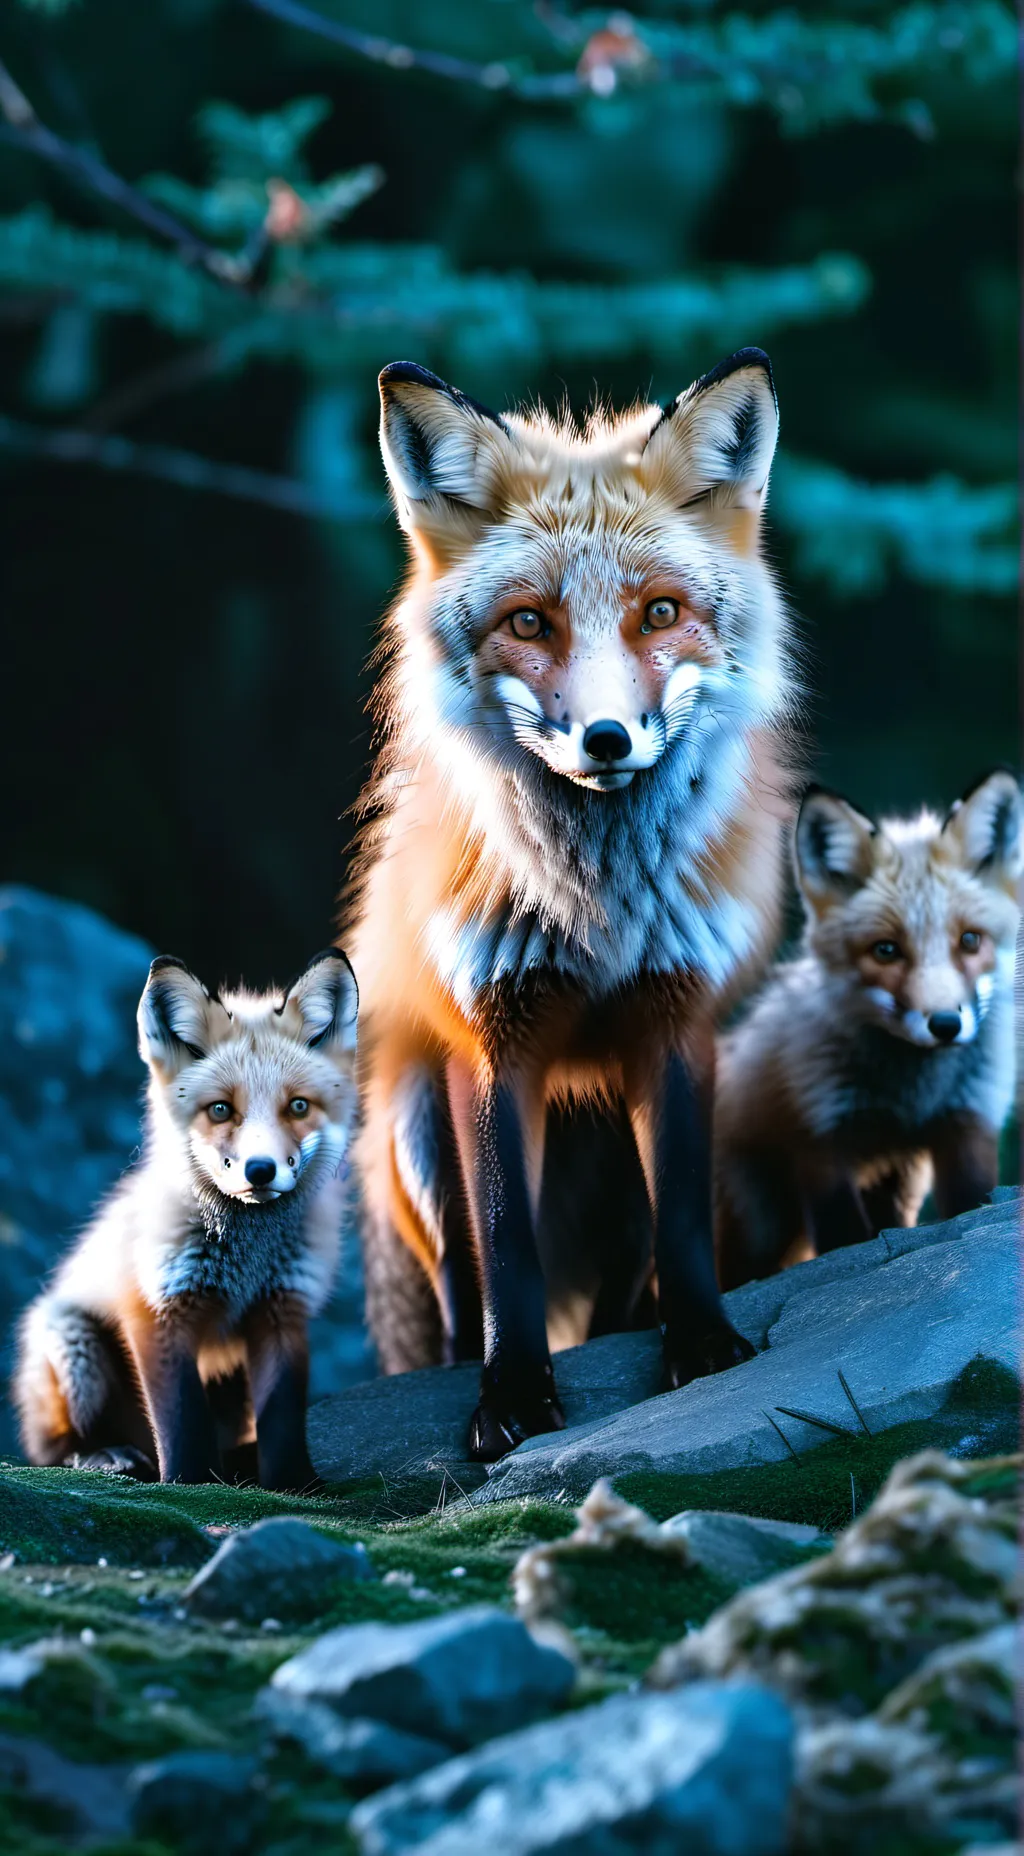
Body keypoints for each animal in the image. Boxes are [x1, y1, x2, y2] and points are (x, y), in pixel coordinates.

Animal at [15, 949, 357, 1489]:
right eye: (220, 1110)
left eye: (298, 1106)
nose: (261, 1170)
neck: (247, 1259)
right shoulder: (157, 1309)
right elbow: (181, 1419)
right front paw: (189, 1481)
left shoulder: (283, 1309)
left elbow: (283, 1418)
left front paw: (294, 1484)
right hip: (74, 1348)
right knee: (51, 1449)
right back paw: (104, 1455)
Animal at [346, 348, 799, 1461]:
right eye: (528, 623)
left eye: (660, 613)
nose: (605, 739)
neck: (598, 912)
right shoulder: (489, 1039)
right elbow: (508, 1245)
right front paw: (510, 1395)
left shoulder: (677, 1021)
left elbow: (681, 1217)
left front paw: (704, 1346)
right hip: (412, 1131)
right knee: (460, 1296)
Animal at [715, 770, 1022, 1287]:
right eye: (885, 950)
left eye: (970, 940)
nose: (945, 1024)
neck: (910, 1096)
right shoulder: (821, 1137)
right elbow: (844, 1240)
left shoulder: (969, 1121)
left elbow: (970, 1203)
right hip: (762, 1225)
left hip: (898, 1186)